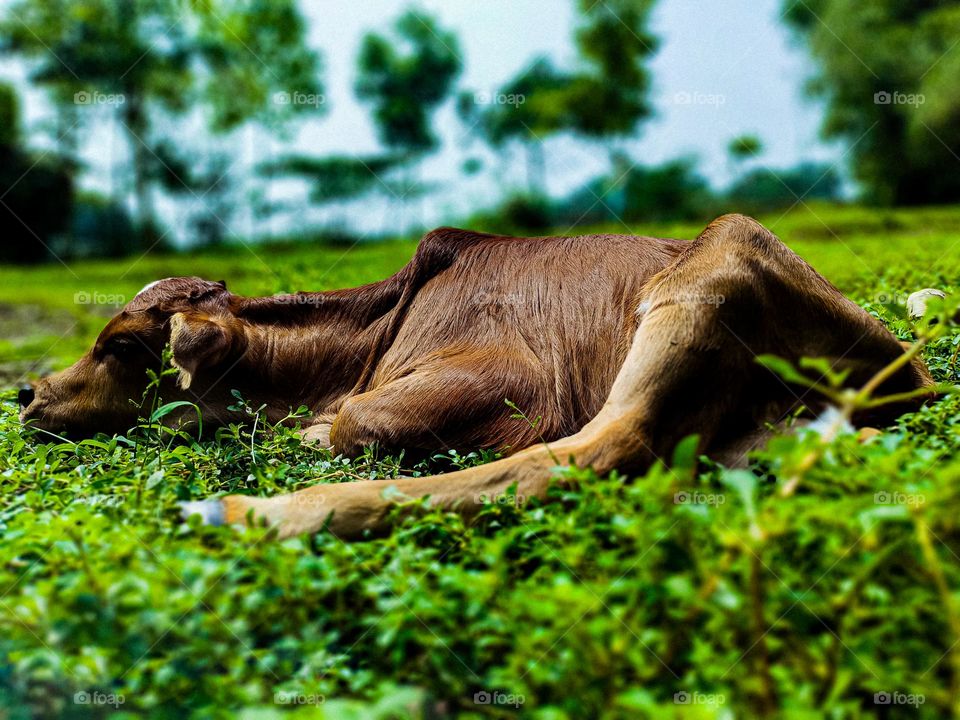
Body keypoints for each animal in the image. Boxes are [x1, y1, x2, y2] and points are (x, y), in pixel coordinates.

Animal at [18, 215, 936, 538]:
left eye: (121, 347)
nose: (24, 392)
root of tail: (907, 373)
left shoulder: (513, 384)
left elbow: (353, 423)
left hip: (709, 271)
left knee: (595, 450)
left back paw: (246, 512)